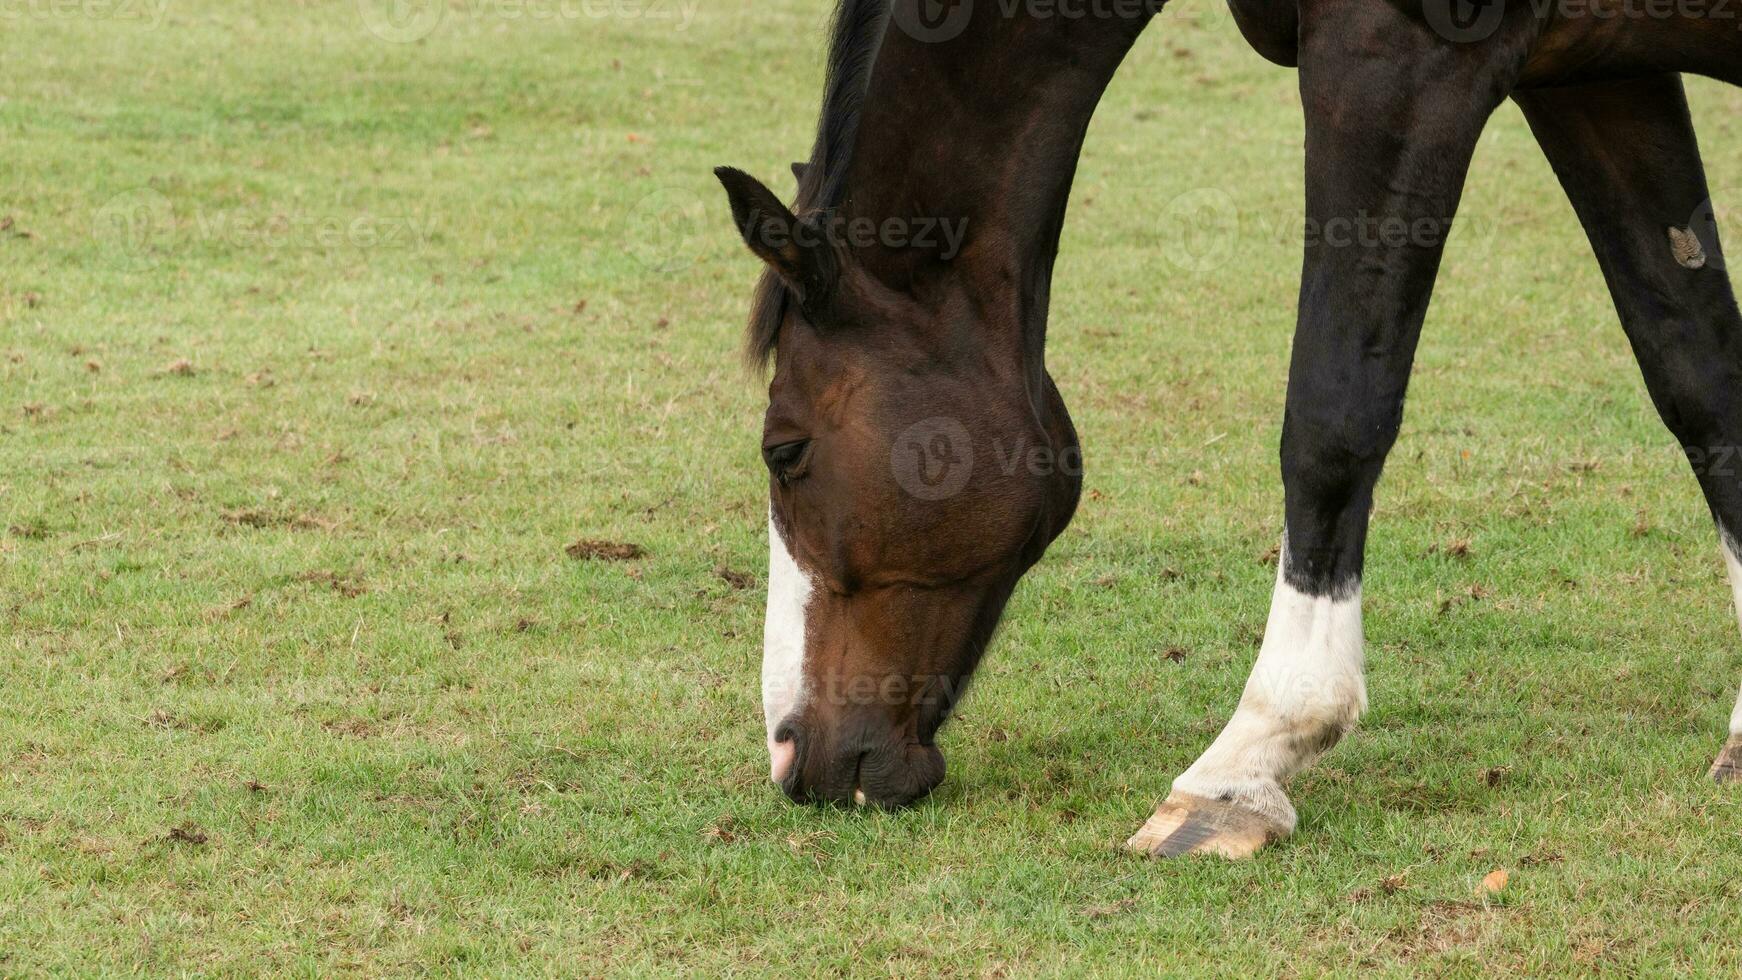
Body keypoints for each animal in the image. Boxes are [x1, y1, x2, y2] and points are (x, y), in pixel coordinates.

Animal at [710, 0, 1742, 859]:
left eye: (784, 452)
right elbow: (1696, 369)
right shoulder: (1593, 78)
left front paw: (1246, 762)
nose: (789, 754)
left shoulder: (1396, 60)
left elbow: (1332, 414)